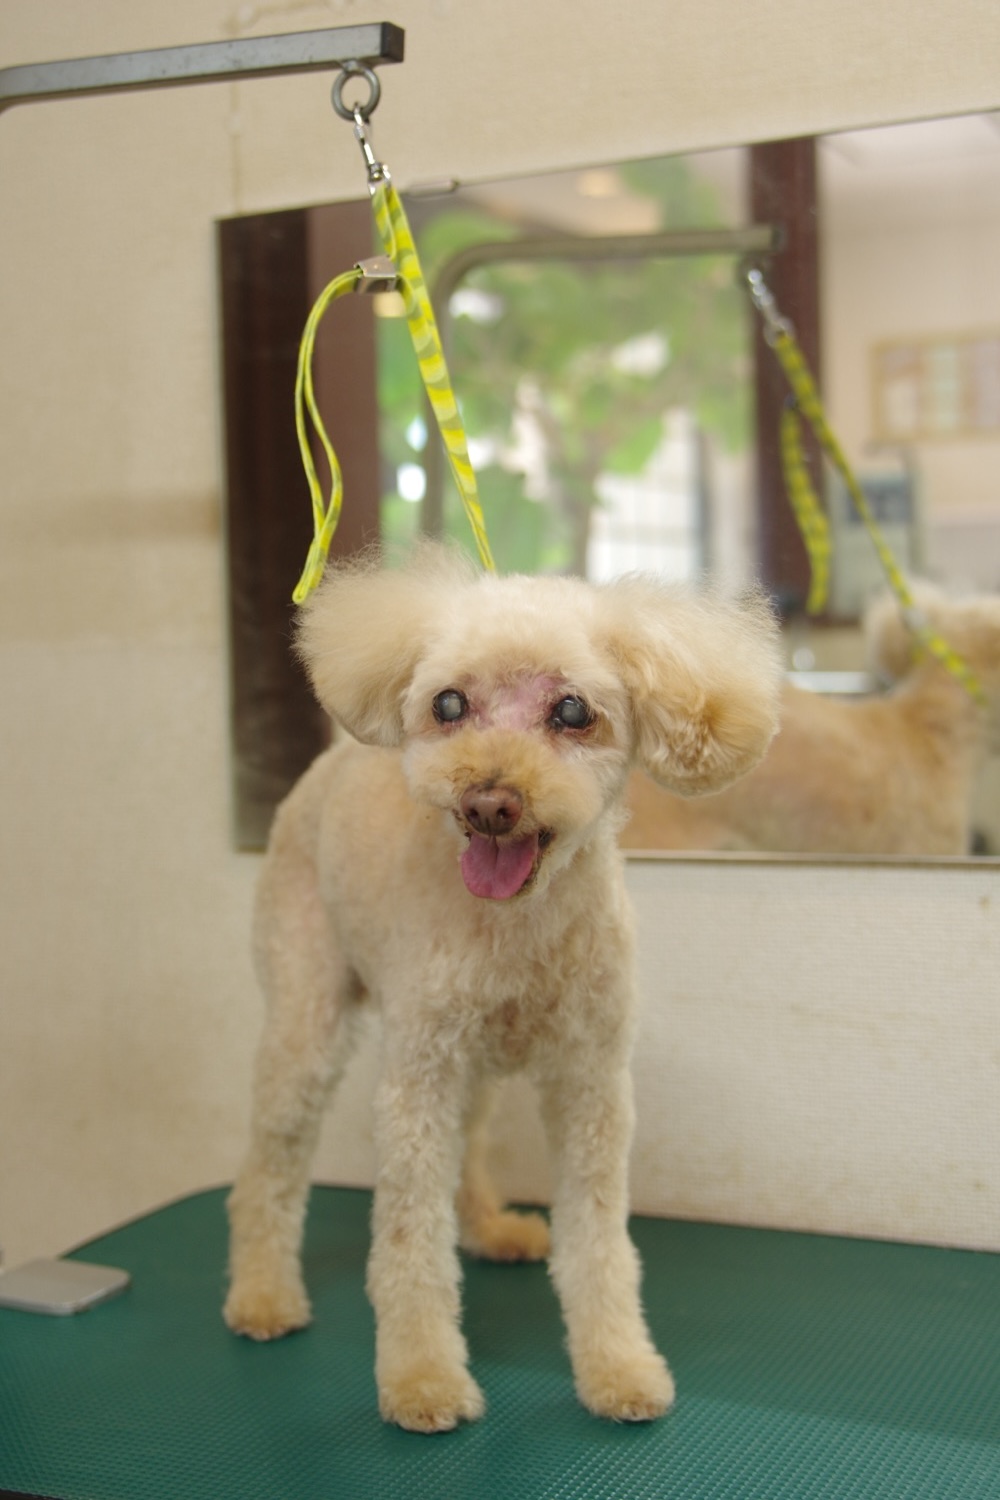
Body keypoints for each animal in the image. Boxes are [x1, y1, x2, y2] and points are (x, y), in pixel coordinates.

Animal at [223, 544, 782, 1431]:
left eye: (573, 711)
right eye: (450, 704)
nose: (489, 802)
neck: (518, 929)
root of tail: (337, 755)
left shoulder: (592, 1086)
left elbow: (600, 1243)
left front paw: (617, 1365)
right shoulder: (418, 1084)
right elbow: (410, 1242)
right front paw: (421, 1377)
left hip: (474, 1066)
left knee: (469, 1148)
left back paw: (487, 1227)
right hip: (307, 1015)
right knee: (268, 1168)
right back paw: (262, 1294)